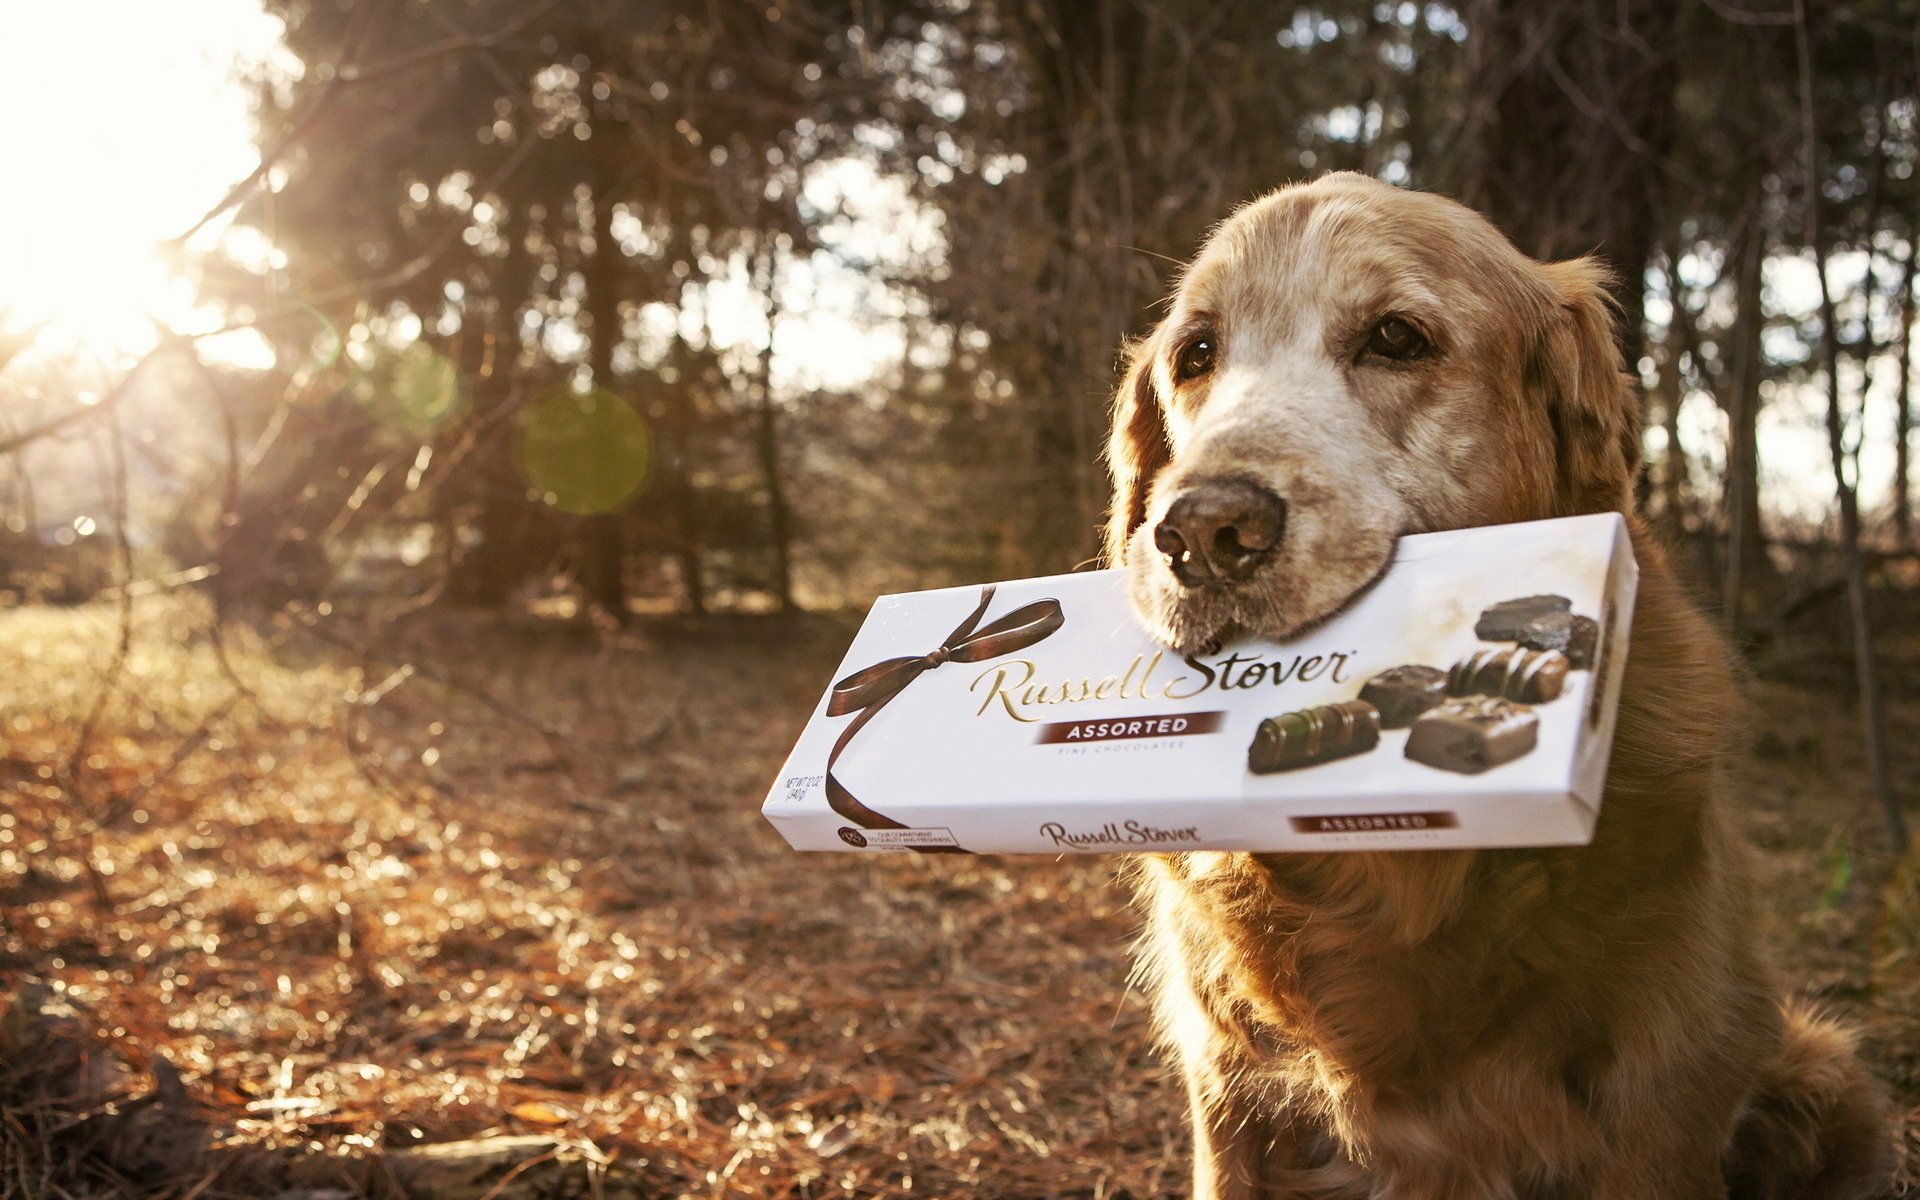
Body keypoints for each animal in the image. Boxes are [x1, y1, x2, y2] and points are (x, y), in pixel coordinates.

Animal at [1105, 175, 1896, 1198]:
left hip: (1824, 1073)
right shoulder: (1228, 1096)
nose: (1202, 532)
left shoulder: (1662, 1111)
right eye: (1194, 355)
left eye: (1398, 337)